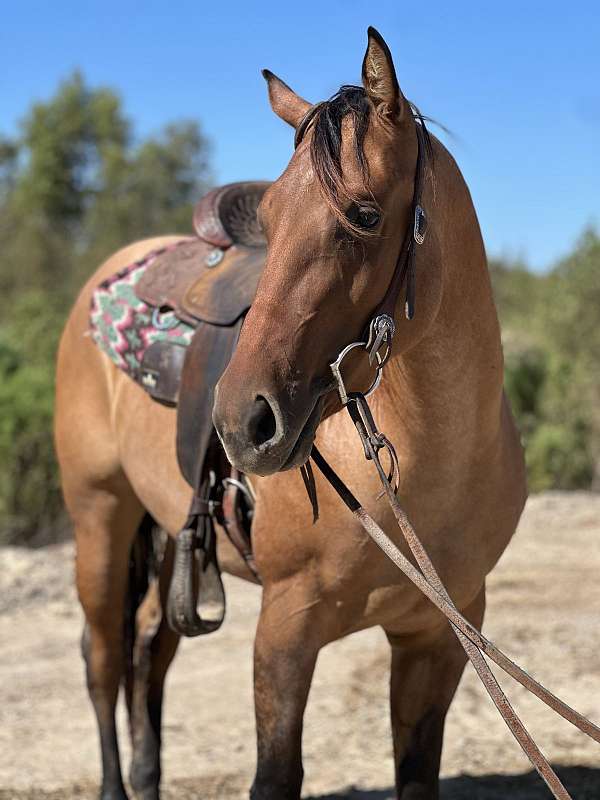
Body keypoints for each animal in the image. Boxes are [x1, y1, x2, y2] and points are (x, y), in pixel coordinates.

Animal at [54, 27, 527, 800]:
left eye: (364, 215)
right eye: (270, 221)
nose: (241, 423)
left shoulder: (438, 640)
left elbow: (417, 772)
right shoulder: (284, 631)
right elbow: (276, 775)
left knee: (149, 646)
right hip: (99, 513)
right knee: (101, 658)